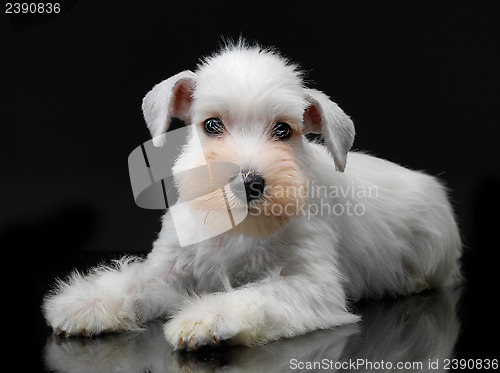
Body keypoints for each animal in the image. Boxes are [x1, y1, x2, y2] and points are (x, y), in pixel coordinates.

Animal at [43, 42, 460, 350]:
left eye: (283, 130)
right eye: (211, 125)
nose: (249, 182)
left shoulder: (311, 285)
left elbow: (254, 294)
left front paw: (207, 317)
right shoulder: (170, 271)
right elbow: (134, 281)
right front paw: (87, 302)